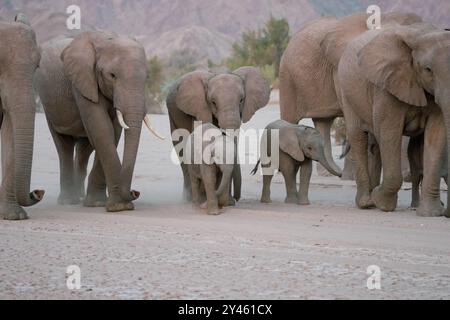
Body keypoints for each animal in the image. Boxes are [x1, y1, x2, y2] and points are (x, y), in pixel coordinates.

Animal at [35, 31, 162, 212]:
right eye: (112, 75)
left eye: (147, 77)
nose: (135, 192)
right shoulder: (82, 81)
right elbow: (102, 128)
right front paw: (117, 207)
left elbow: (113, 131)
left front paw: (101, 204)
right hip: (49, 106)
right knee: (64, 146)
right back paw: (68, 201)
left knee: (84, 149)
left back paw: (81, 197)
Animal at [166, 67, 268, 202]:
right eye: (213, 102)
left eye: (241, 100)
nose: (236, 198)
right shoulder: (199, 109)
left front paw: (227, 202)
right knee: (181, 150)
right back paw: (189, 199)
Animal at [340, 21, 450, 218]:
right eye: (428, 69)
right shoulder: (386, 85)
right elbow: (389, 131)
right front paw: (382, 203)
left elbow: (436, 135)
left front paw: (430, 213)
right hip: (347, 91)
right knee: (359, 137)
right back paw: (367, 202)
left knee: (375, 146)